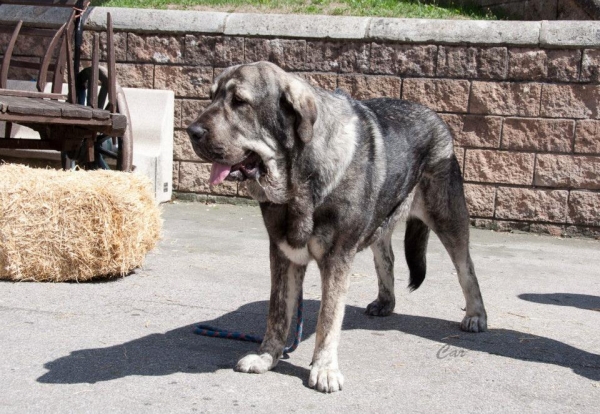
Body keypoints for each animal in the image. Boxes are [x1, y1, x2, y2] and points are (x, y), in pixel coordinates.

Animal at [188, 60, 488, 392]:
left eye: (239, 101)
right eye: (211, 97)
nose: (192, 131)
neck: (299, 179)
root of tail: (435, 116)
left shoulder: (336, 258)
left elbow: (328, 318)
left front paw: (324, 368)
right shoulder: (283, 254)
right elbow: (277, 312)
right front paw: (267, 356)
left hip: (447, 217)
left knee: (466, 268)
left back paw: (476, 315)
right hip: (381, 219)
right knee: (387, 259)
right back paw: (385, 302)